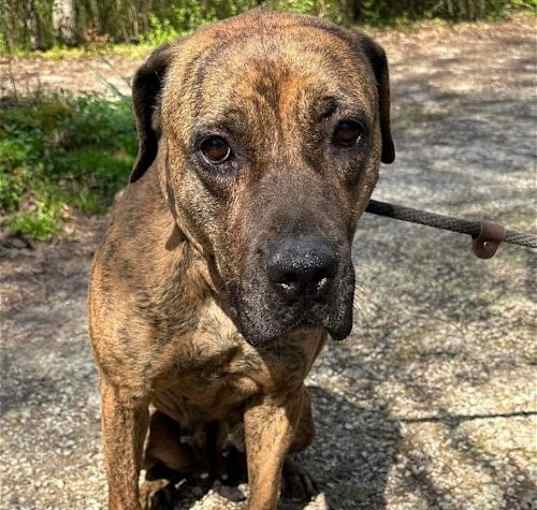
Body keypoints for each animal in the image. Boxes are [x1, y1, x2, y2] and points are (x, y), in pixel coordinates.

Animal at [88, 8, 394, 510]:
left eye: (349, 132)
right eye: (215, 147)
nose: (306, 274)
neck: (212, 288)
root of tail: (211, 460)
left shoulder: (274, 400)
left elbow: (264, 488)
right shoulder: (123, 396)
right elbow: (121, 488)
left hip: (302, 411)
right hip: (156, 427)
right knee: (156, 462)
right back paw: (158, 486)